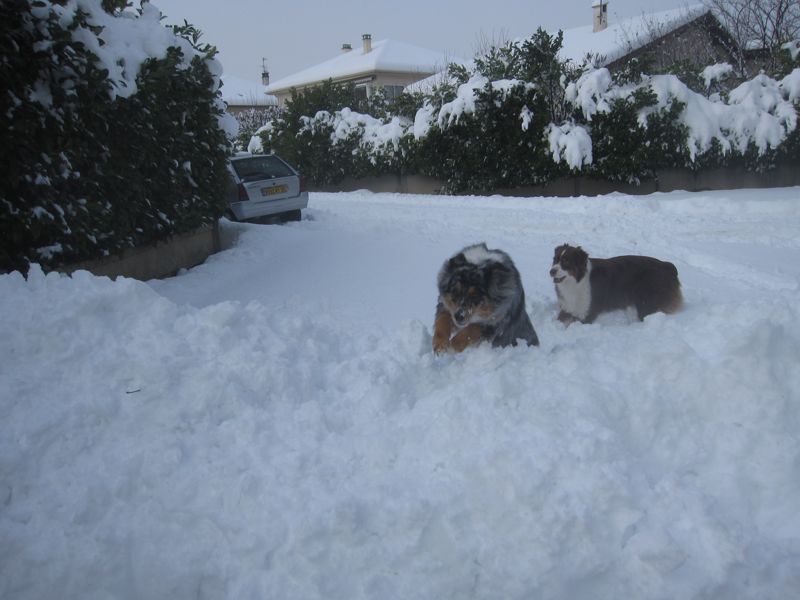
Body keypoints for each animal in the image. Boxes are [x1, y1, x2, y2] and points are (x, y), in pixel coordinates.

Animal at [552, 244, 680, 326]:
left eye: (566, 261)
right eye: (555, 260)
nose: (551, 271)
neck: (575, 282)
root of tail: (668, 266)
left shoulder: (588, 313)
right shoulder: (567, 307)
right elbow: (559, 320)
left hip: (647, 302)